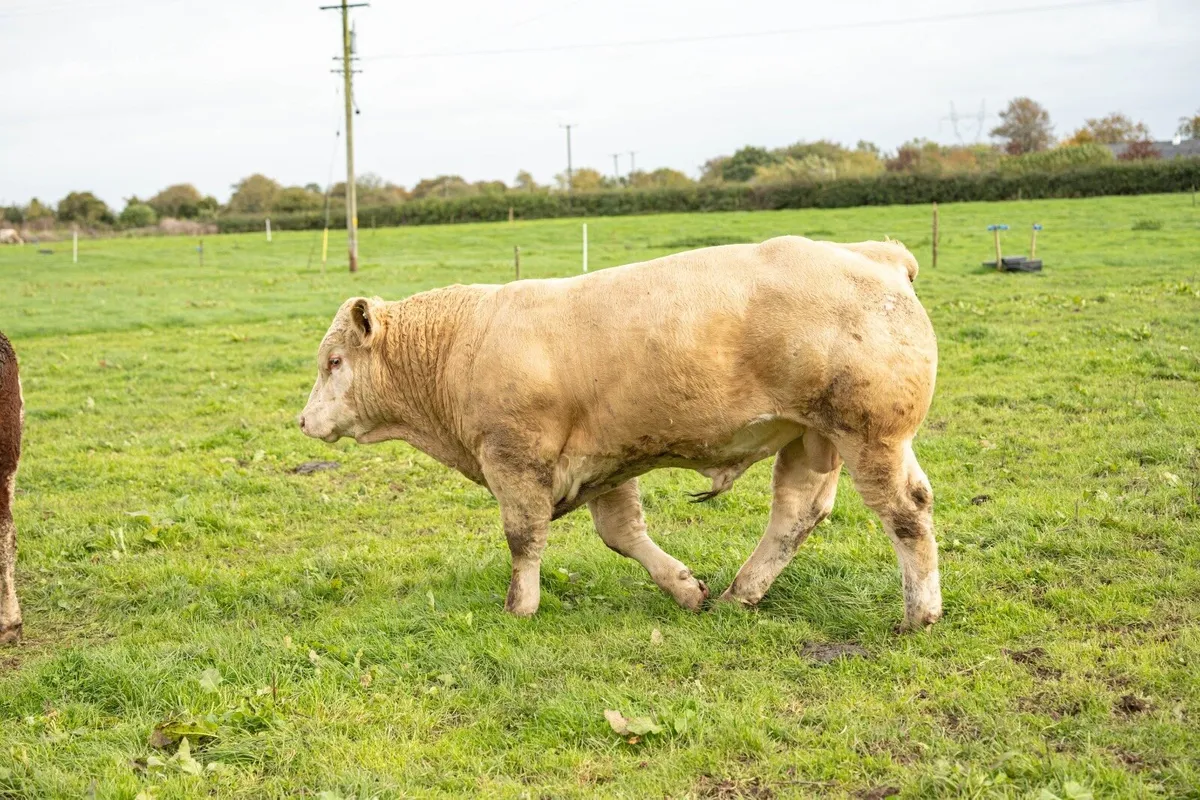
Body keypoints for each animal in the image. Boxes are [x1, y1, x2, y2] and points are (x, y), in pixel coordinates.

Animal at [299, 236, 941, 630]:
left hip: (872, 435)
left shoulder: (515, 458)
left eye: (333, 361)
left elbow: (523, 538)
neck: (462, 343)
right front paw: (685, 588)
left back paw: (920, 612)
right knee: (796, 513)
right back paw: (741, 593)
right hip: (810, 438)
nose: (303, 421)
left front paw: (520, 607)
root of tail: (874, 253)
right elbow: (622, 534)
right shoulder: (606, 459)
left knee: (906, 511)